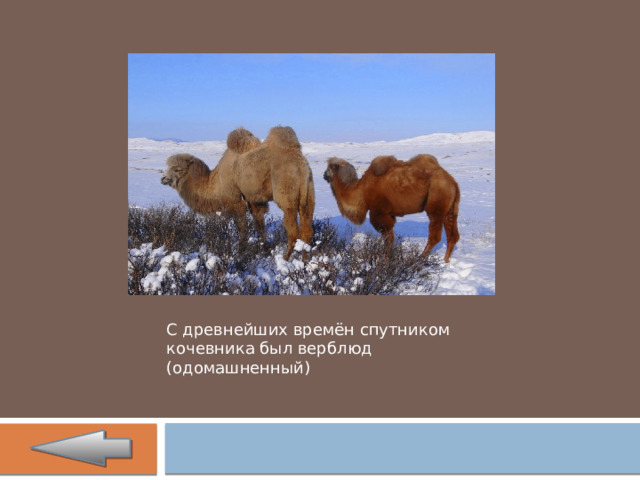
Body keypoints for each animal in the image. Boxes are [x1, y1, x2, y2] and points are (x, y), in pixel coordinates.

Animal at [161, 126, 315, 260]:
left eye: (177, 169)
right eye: (168, 167)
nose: (163, 178)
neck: (215, 181)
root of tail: (300, 164)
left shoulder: (235, 201)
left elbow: (242, 229)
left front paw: (241, 253)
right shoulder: (254, 200)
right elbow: (259, 226)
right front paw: (263, 250)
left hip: (286, 195)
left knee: (293, 232)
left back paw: (285, 260)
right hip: (308, 195)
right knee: (307, 231)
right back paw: (304, 260)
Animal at [323, 154, 460, 262]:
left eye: (329, 168)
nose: (324, 175)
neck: (361, 191)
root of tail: (452, 182)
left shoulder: (379, 213)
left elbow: (388, 239)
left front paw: (385, 259)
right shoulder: (389, 214)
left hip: (436, 204)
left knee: (435, 236)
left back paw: (419, 259)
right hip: (451, 208)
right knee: (453, 235)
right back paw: (445, 261)